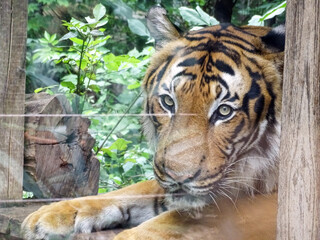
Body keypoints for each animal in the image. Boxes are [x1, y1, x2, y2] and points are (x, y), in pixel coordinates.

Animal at [22, 5, 284, 240]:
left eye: (224, 111)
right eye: (168, 102)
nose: (179, 178)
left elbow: (180, 221)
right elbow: (134, 190)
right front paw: (50, 214)